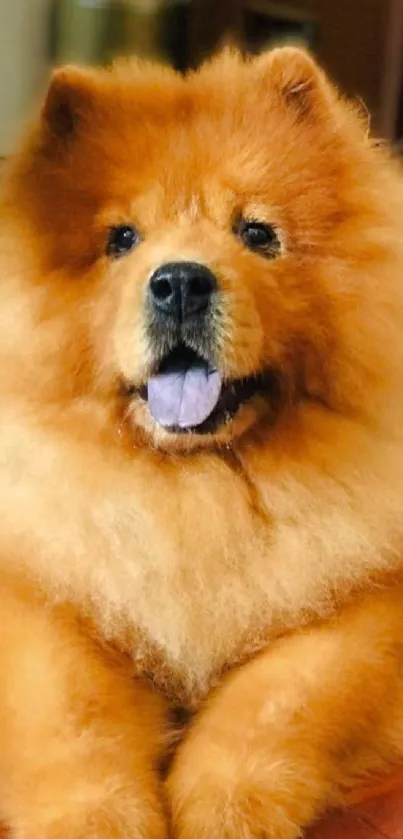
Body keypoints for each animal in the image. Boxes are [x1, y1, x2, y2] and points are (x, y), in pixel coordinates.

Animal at [0, 44, 403, 839]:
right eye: (121, 239)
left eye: (257, 234)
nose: (181, 281)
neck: (195, 490)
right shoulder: (41, 596)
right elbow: (71, 716)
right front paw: (97, 818)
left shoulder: (366, 607)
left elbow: (279, 698)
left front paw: (229, 807)